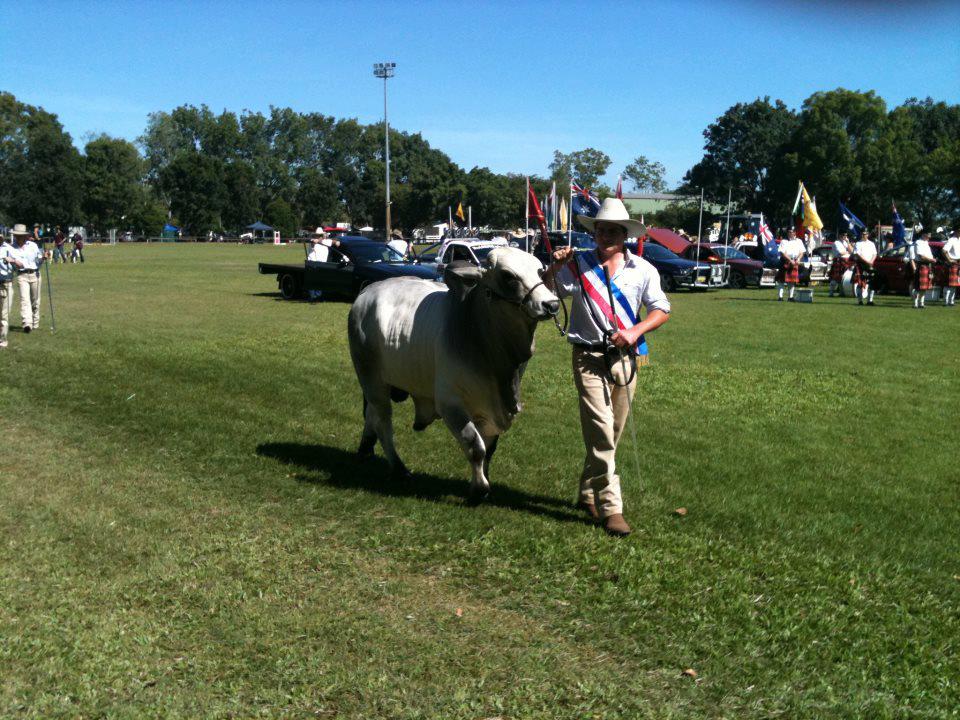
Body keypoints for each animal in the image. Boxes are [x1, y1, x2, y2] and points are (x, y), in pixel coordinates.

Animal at [348, 248, 564, 500]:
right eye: (508, 276)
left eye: (540, 270)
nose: (551, 304)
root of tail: (367, 291)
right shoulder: (450, 404)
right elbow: (475, 446)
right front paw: (478, 490)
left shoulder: (490, 410)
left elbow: (489, 449)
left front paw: (483, 480)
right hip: (371, 378)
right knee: (383, 422)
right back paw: (399, 469)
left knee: (371, 415)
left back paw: (365, 449)